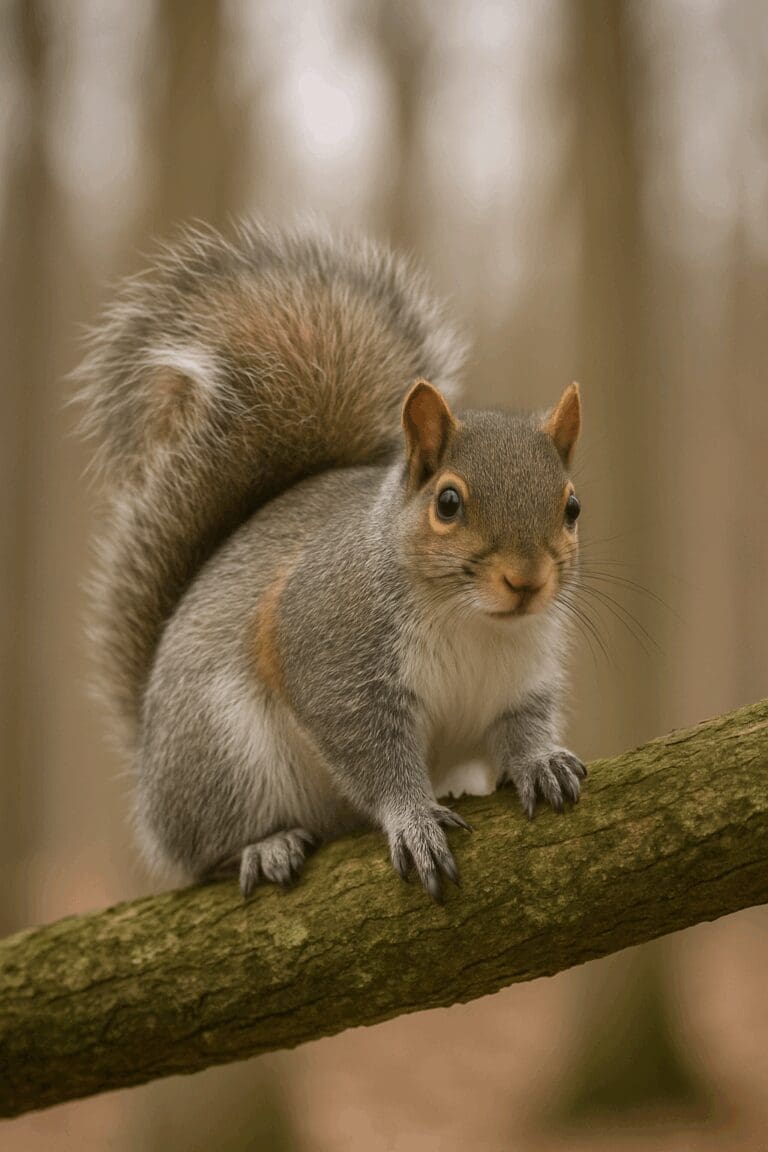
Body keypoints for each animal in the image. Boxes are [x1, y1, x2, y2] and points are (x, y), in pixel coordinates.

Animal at [79, 221, 586, 903]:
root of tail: (149, 774)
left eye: (572, 507)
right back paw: (263, 846)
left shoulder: (522, 677)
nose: (527, 581)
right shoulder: (331, 653)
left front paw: (539, 761)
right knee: (204, 853)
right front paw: (413, 818)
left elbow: (521, 724)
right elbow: (371, 753)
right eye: (448, 503)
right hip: (223, 756)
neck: (471, 620)